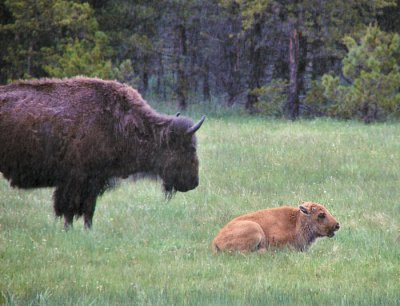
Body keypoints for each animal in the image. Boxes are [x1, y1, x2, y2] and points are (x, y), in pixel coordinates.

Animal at [0, 76, 205, 230]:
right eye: (190, 148)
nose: (194, 183)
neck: (118, 121)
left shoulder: (95, 181)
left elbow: (88, 210)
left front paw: (87, 230)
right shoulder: (76, 181)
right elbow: (70, 209)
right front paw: (69, 230)